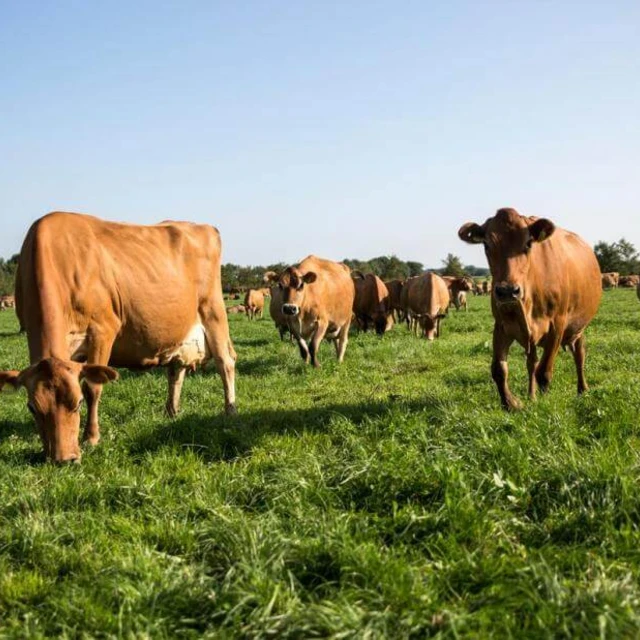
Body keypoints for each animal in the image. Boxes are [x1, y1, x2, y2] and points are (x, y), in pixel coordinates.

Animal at [0, 212, 236, 462]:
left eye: (78, 403)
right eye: (32, 408)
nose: (64, 459)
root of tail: (205, 227)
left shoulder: (102, 330)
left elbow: (93, 386)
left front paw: (91, 437)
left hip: (213, 312)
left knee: (225, 362)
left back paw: (230, 411)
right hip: (177, 330)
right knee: (176, 368)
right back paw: (171, 412)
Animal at [460, 208, 600, 412]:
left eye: (528, 243)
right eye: (486, 244)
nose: (507, 290)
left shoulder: (557, 325)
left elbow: (544, 371)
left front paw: (544, 404)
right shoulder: (501, 325)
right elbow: (499, 369)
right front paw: (511, 403)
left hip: (577, 328)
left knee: (579, 355)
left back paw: (583, 389)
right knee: (531, 362)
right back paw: (531, 395)